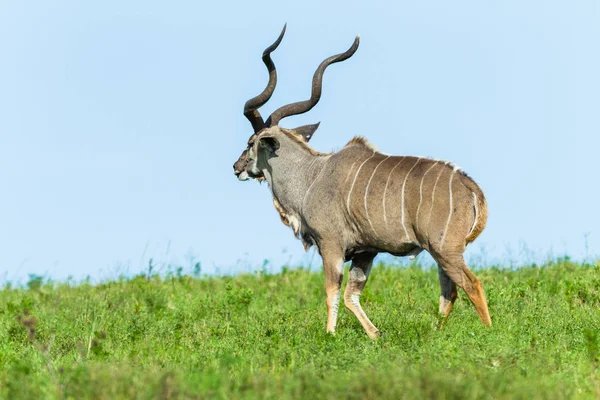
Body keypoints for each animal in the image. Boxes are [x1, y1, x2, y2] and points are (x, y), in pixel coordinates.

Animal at [232, 25, 490, 338]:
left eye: (251, 143)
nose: (236, 167)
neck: (311, 175)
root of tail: (469, 186)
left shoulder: (331, 245)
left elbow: (332, 293)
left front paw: (330, 336)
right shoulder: (365, 252)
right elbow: (351, 295)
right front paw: (376, 335)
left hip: (444, 249)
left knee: (472, 285)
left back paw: (489, 334)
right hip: (441, 254)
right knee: (449, 292)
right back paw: (436, 334)